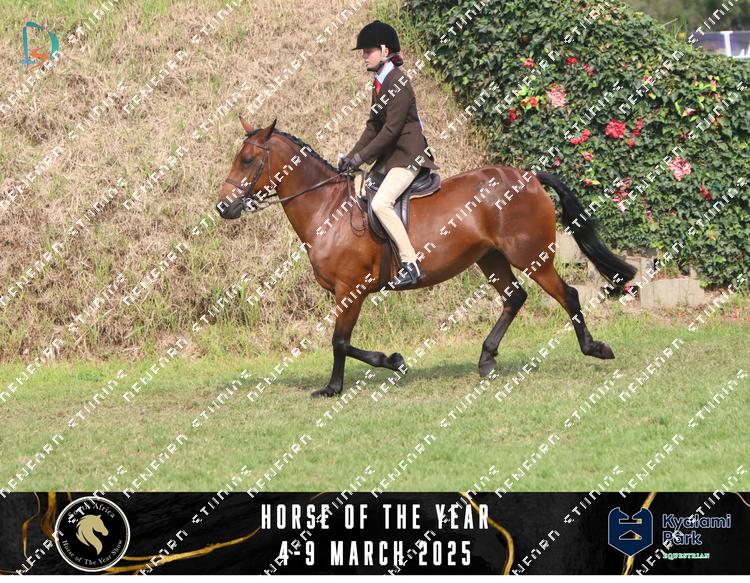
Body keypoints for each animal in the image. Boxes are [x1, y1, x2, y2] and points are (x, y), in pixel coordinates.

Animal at [217, 117, 636, 398]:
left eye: (248, 160)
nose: (222, 207)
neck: (328, 209)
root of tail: (529, 176)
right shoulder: (347, 292)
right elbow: (343, 342)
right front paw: (387, 363)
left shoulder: (350, 289)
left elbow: (339, 342)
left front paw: (340, 384)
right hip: (490, 259)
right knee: (514, 298)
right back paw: (486, 359)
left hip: (532, 256)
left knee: (568, 295)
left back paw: (595, 348)